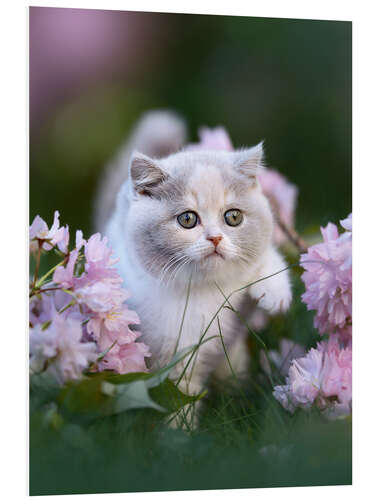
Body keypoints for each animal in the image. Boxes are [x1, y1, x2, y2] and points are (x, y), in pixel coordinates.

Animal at [95, 110, 292, 418]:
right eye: (187, 219)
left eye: (233, 217)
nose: (215, 238)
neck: (203, 291)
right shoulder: (171, 350)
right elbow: (179, 393)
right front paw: (179, 428)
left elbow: (263, 254)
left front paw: (275, 293)